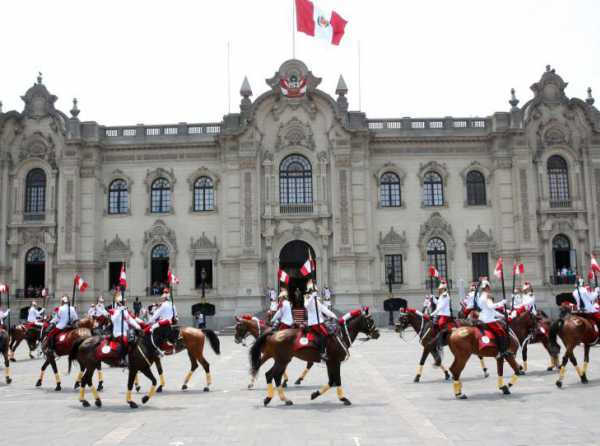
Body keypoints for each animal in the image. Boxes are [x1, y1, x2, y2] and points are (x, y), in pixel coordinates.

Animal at [248, 312, 380, 406]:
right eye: (370, 320)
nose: (377, 333)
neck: (340, 334)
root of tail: (273, 333)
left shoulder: (330, 362)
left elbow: (331, 380)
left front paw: (315, 394)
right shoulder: (335, 361)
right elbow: (337, 379)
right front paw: (343, 398)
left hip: (281, 360)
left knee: (273, 375)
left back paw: (282, 398)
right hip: (282, 360)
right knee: (271, 375)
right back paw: (270, 398)